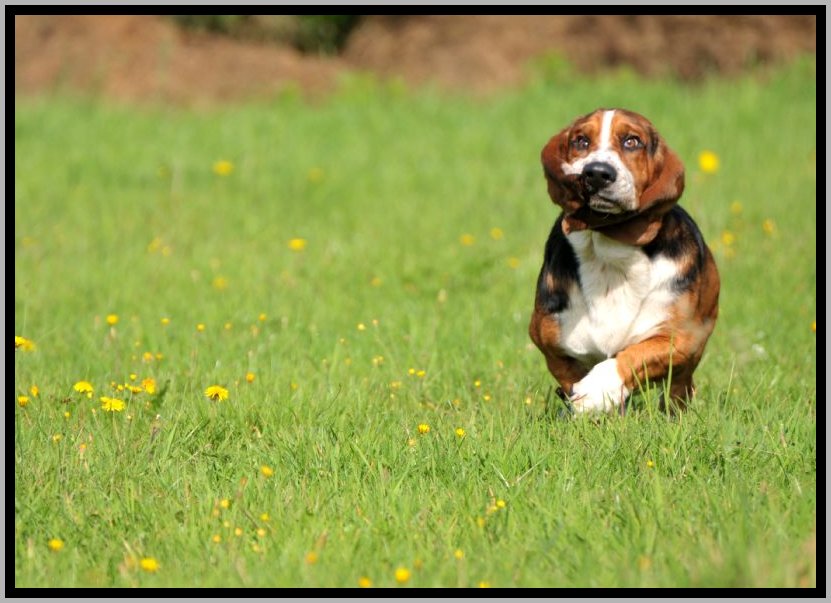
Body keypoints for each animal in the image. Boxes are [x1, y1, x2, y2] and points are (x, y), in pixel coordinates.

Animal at [528, 108, 720, 412]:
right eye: (581, 141)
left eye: (632, 141)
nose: (597, 173)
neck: (609, 252)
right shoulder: (549, 342)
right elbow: (569, 377)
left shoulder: (681, 340)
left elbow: (632, 356)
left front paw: (595, 390)